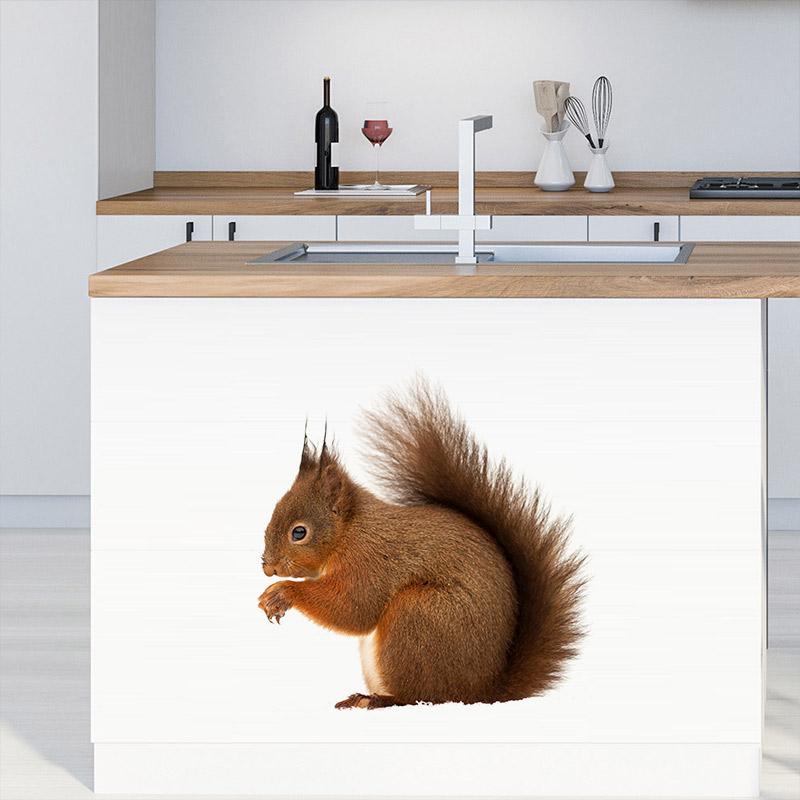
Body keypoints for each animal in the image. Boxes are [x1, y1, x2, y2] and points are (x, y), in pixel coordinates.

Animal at [258, 379, 585, 710]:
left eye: (299, 532)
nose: (268, 567)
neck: (350, 531)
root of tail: (481, 693)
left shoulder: (370, 560)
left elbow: (353, 607)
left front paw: (282, 593)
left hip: (415, 616)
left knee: (418, 696)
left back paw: (375, 700)